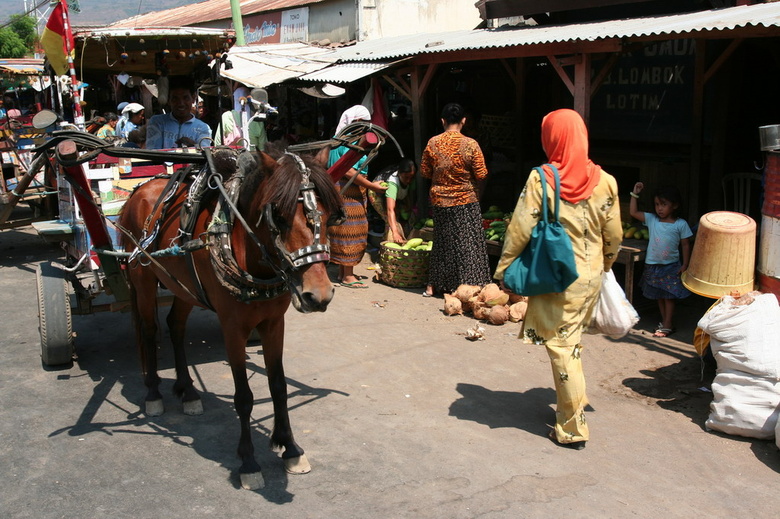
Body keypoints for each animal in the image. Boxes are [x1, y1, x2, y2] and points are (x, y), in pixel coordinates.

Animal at [116, 147, 344, 492]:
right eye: (277, 216)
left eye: (331, 215)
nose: (318, 295)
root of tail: (141, 190)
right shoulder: (233, 328)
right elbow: (244, 397)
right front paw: (248, 462)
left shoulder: (274, 323)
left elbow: (278, 385)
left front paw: (290, 448)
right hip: (141, 276)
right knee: (150, 330)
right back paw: (154, 394)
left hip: (184, 286)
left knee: (175, 326)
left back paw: (188, 391)